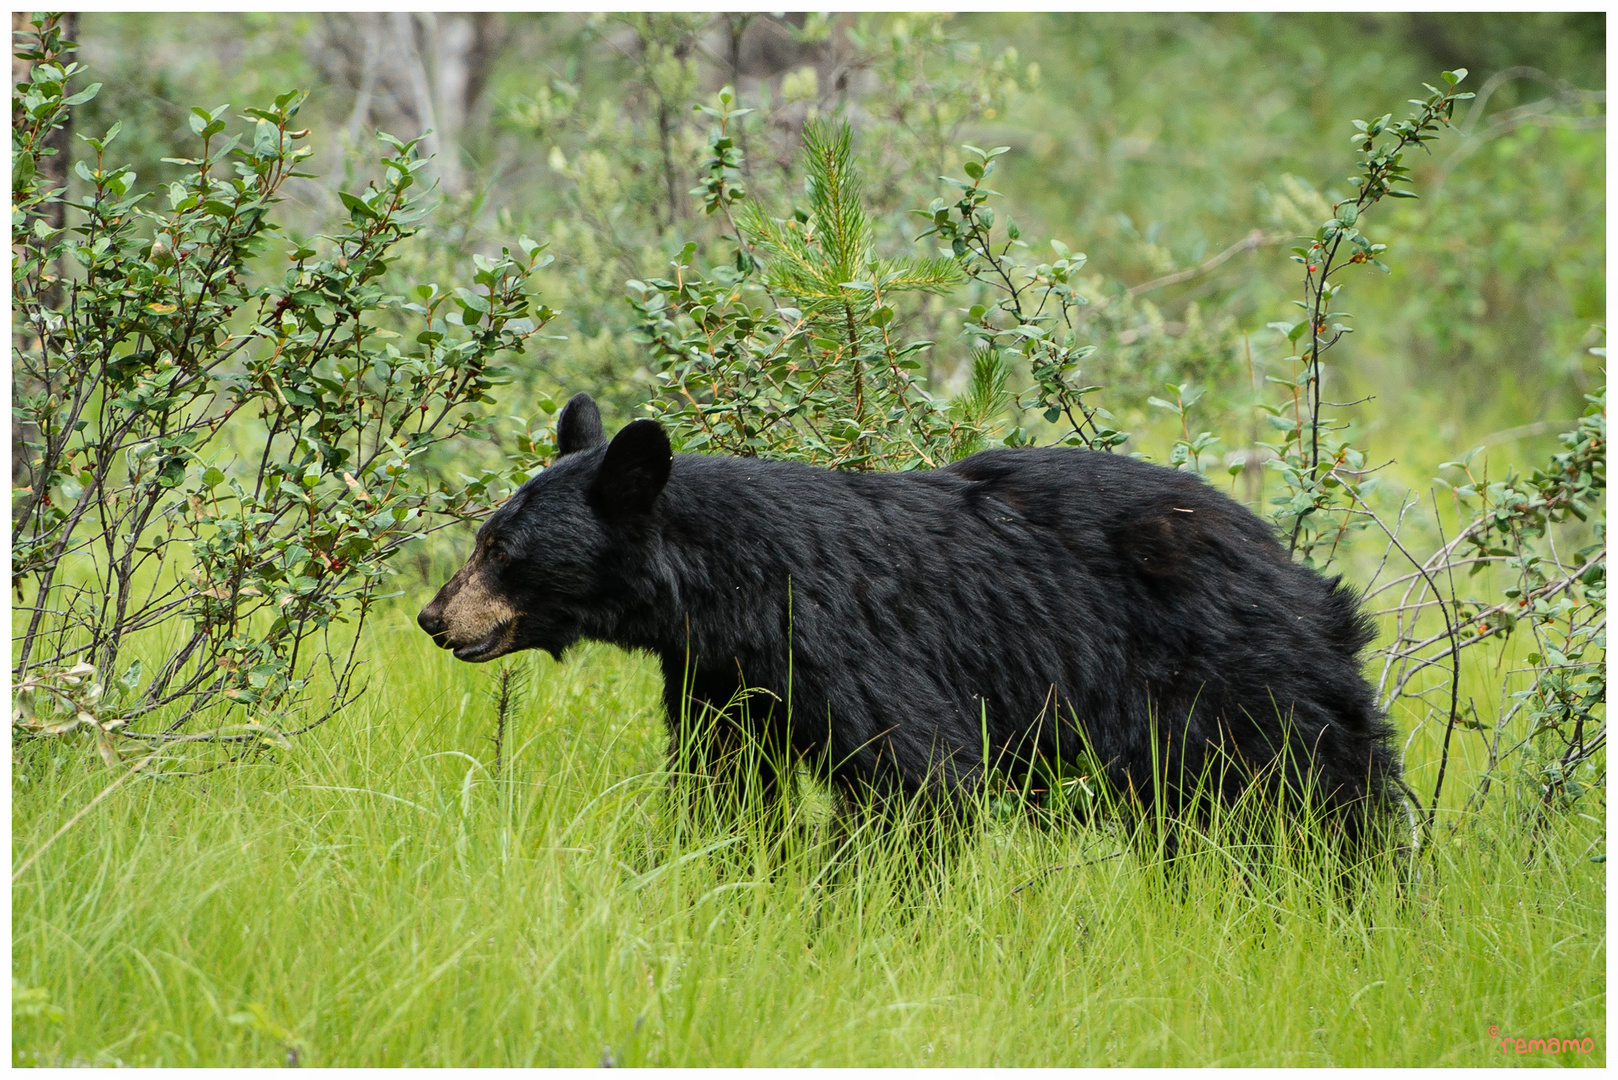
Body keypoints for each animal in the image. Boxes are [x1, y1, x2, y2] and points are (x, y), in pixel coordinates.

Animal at [417, 393, 1404, 848]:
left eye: (502, 548)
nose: (433, 617)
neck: (731, 591)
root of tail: (1286, 559)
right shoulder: (723, 674)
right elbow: (724, 777)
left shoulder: (849, 643)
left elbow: (913, 775)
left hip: (1242, 681)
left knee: (1322, 801)